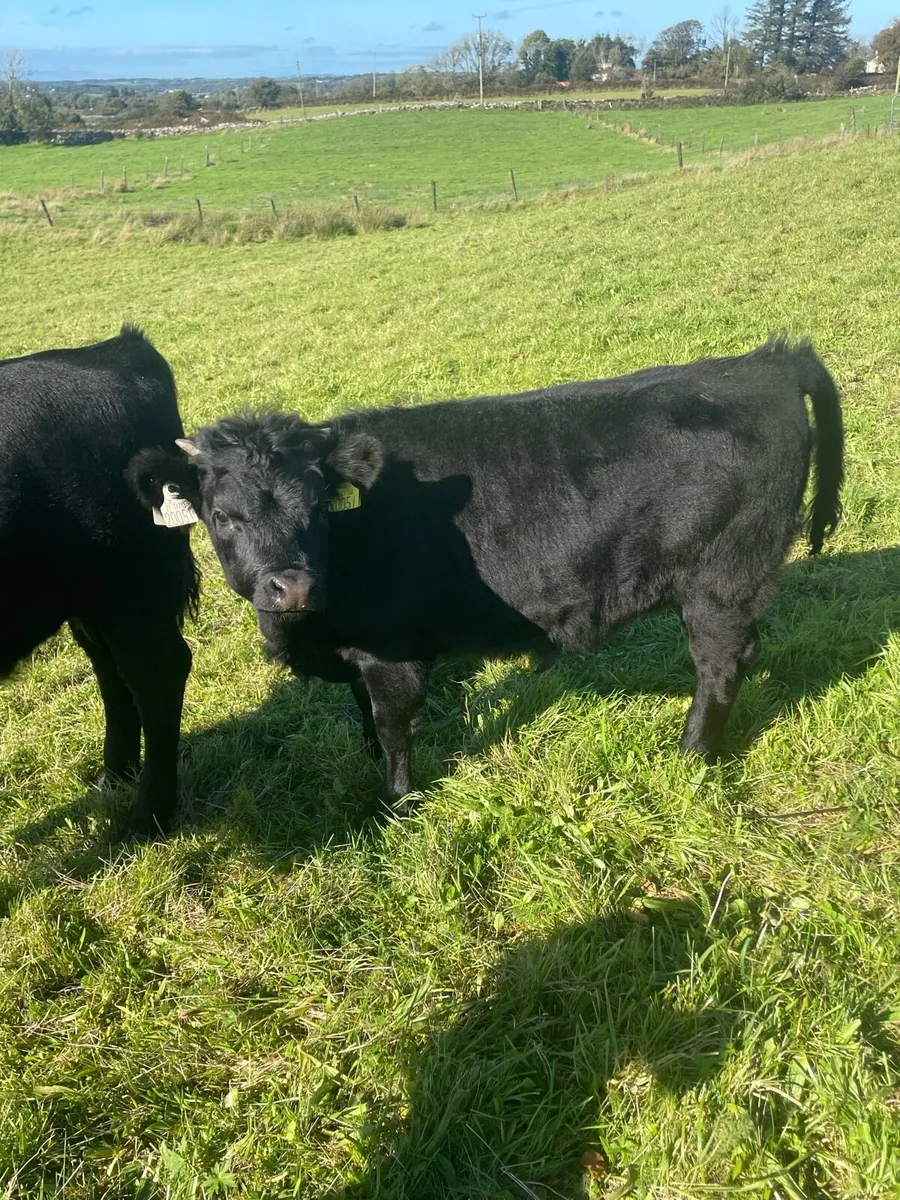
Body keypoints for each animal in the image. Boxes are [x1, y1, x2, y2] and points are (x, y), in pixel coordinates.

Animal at [0, 326, 198, 835]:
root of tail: (116, 348)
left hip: (129, 589)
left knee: (155, 673)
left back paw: (147, 817)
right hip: (89, 599)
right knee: (110, 667)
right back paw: (115, 776)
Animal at [132, 339, 843, 813]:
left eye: (317, 508)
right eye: (222, 515)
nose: (293, 586)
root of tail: (766, 361)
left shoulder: (395, 653)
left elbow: (393, 726)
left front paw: (395, 804)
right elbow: (364, 721)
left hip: (721, 582)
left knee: (720, 665)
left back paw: (691, 756)